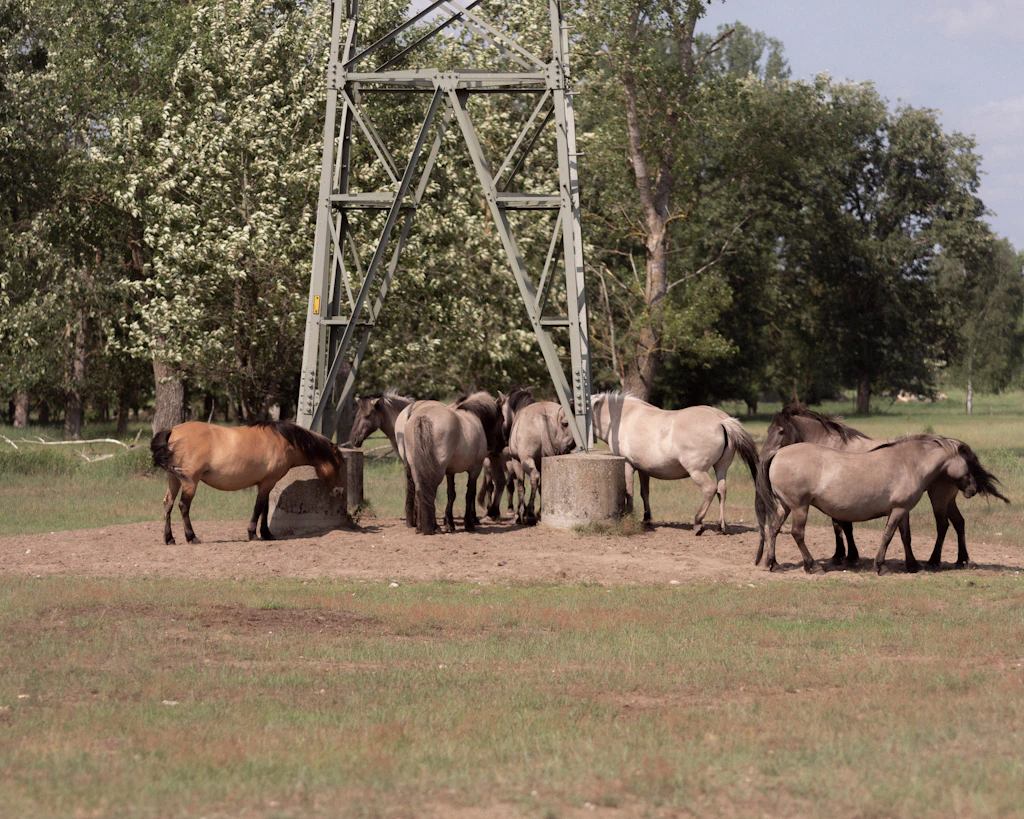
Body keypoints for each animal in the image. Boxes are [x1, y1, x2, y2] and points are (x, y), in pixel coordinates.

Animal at [151, 420, 345, 544]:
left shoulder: (266, 483)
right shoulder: (267, 483)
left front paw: (267, 533)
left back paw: (169, 538)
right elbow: (258, 508)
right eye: (338, 465)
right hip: (190, 482)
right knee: (183, 506)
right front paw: (253, 534)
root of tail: (173, 431)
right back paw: (192, 537)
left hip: (174, 479)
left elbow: (265, 508)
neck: (284, 441)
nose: (340, 491)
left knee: (168, 504)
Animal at [405, 392, 505, 535]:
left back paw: (420, 526)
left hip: (416, 467)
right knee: (430, 490)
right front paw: (468, 523)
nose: (501, 445)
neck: (473, 416)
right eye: (502, 419)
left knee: (420, 491)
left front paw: (450, 523)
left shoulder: (450, 472)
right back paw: (433, 527)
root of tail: (423, 416)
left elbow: (451, 494)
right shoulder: (475, 468)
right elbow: (470, 493)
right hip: (437, 470)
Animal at [591, 393, 760, 533]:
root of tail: (721, 420)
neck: (624, 416)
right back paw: (721, 526)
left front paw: (628, 516)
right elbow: (644, 493)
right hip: (721, 468)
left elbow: (629, 491)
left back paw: (698, 522)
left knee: (710, 489)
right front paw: (646, 519)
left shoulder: (627, 465)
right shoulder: (644, 469)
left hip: (697, 471)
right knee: (721, 490)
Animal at [756, 406, 976, 568]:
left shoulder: (900, 508)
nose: (972, 489)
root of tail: (777, 455)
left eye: (780, 430)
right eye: (967, 463)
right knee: (795, 532)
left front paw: (911, 564)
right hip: (798, 506)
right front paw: (858, 560)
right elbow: (875, 533)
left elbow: (903, 535)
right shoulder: (894, 509)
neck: (909, 462)